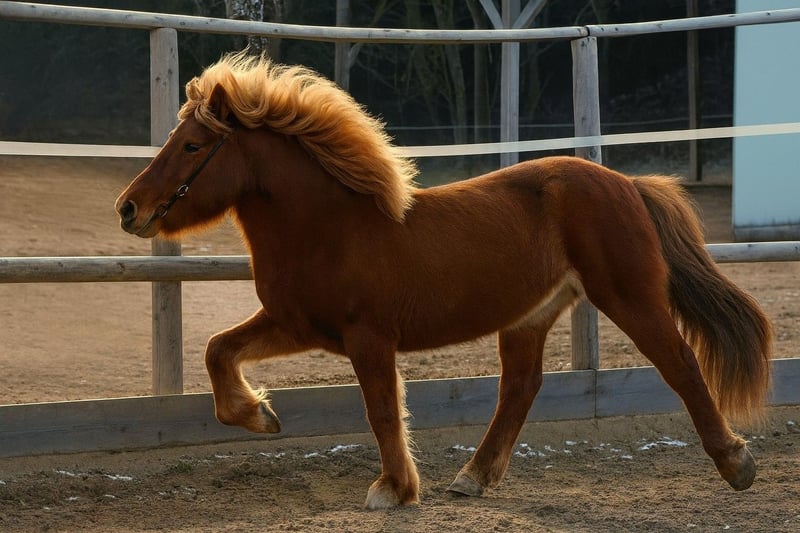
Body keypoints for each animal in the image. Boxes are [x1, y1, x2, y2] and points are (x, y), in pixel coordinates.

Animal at [115, 53, 772, 510]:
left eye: (192, 145)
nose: (128, 208)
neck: (329, 226)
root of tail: (627, 183)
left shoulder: (367, 338)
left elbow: (383, 409)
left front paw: (393, 489)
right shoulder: (295, 324)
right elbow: (217, 349)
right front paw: (260, 416)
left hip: (629, 296)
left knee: (680, 364)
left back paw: (737, 464)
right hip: (530, 316)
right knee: (520, 389)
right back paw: (472, 479)